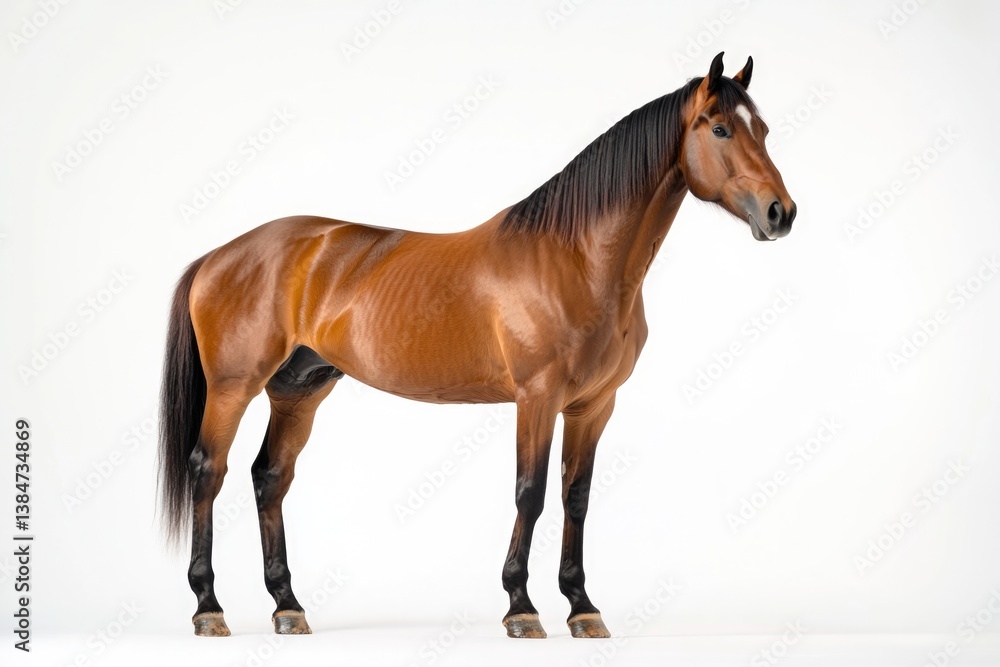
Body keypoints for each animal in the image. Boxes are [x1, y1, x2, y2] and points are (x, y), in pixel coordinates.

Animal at [157, 51, 796, 639]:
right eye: (720, 128)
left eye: (762, 129)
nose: (780, 213)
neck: (577, 259)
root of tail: (219, 254)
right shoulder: (537, 398)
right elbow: (530, 493)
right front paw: (522, 608)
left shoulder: (593, 406)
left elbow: (577, 497)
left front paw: (582, 608)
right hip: (234, 387)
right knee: (208, 471)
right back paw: (208, 607)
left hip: (298, 392)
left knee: (270, 477)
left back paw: (287, 606)